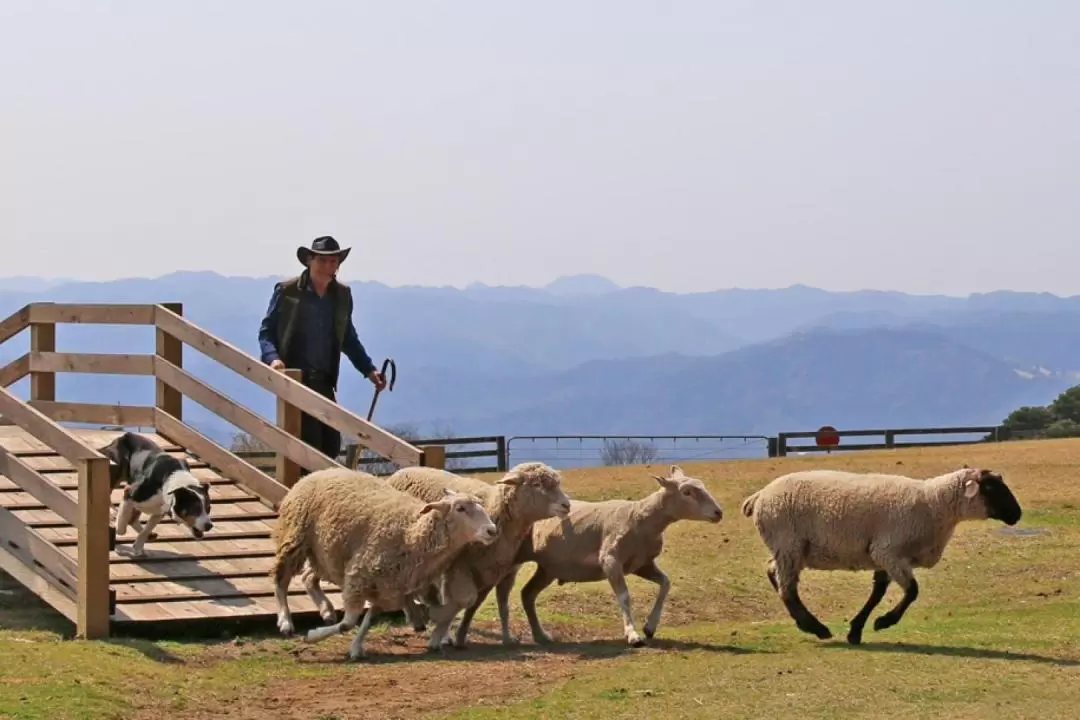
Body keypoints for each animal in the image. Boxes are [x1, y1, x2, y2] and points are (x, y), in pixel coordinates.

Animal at [267, 464, 494, 660]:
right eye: (460, 508)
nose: (492, 530)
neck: (411, 533)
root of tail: (314, 474)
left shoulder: (386, 585)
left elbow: (368, 619)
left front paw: (356, 647)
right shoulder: (360, 575)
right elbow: (348, 623)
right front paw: (314, 636)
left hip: (327, 554)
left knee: (307, 577)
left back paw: (327, 610)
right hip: (295, 538)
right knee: (280, 580)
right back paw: (286, 621)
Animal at [386, 462, 574, 651]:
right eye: (536, 484)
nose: (566, 505)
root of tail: (404, 470)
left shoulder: (502, 573)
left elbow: (498, 607)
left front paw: (507, 638)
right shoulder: (459, 570)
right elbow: (461, 602)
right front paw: (452, 636)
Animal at [496, 464, 725, 651]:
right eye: (687, 492)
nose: (718, 513)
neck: (640, 518)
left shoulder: (642, 564)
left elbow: (665, 583)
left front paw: (650, 627)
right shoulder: (610, 560)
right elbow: (624, 596)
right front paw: (633, 635)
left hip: (548, 568)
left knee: (527, 594)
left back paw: (541, 635)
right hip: (514, 560)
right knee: (507, 592)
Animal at [738, 468, 1023, 647]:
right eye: (990, 487)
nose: (1017, 514)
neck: (934, 503)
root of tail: (759, 496)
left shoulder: (884, 555)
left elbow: (877, 594)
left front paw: (856, 630)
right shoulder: (888, 551)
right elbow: (912, 591)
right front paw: (884, 622)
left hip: (790, 548)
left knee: (773, 572)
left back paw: (804, 623)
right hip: (789, 544)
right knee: (787, 588)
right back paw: (816, 628)